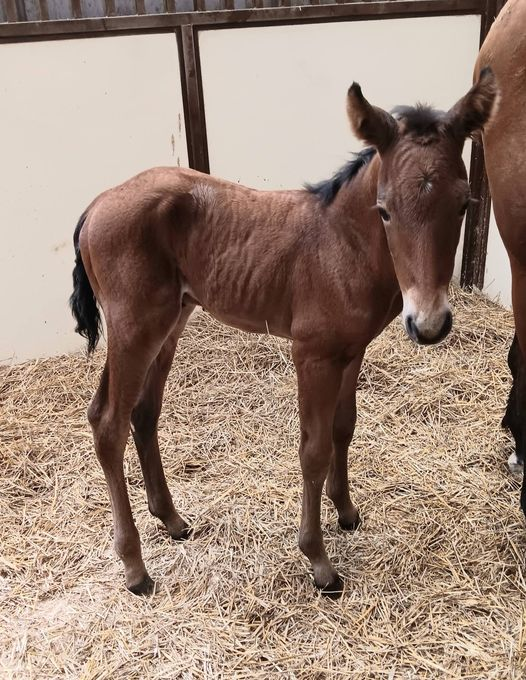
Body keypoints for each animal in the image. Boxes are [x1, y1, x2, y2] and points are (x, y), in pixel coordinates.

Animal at [70, 73, 497, 598]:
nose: (430, 323)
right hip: (135, 327)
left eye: (463, 205)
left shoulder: (351, 350)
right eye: (385, 210)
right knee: (108, 423)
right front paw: (319, 562)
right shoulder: (312, 354)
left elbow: (343, 427)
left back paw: (172, 520)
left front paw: (346, 512)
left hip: (167, 323)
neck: (343, 244)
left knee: (142, 413)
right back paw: (135, 568)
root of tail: (96, 205)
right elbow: (313, 450)